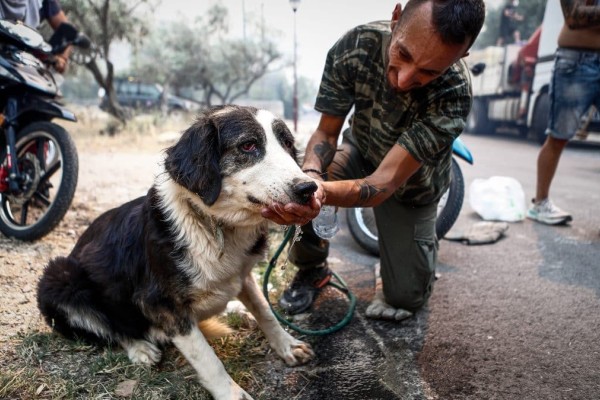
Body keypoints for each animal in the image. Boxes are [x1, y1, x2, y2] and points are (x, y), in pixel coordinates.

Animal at [36, 104, 318, 398]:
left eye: (288, 144)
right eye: (248, 145)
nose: (309, 188)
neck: (214, 225)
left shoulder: (243, 274)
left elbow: (264, 311)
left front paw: (287, 344)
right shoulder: (160, 304)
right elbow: (207, 358)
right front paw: (231, 393)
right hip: (59, 277)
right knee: (111, 327)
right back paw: (141, 348)